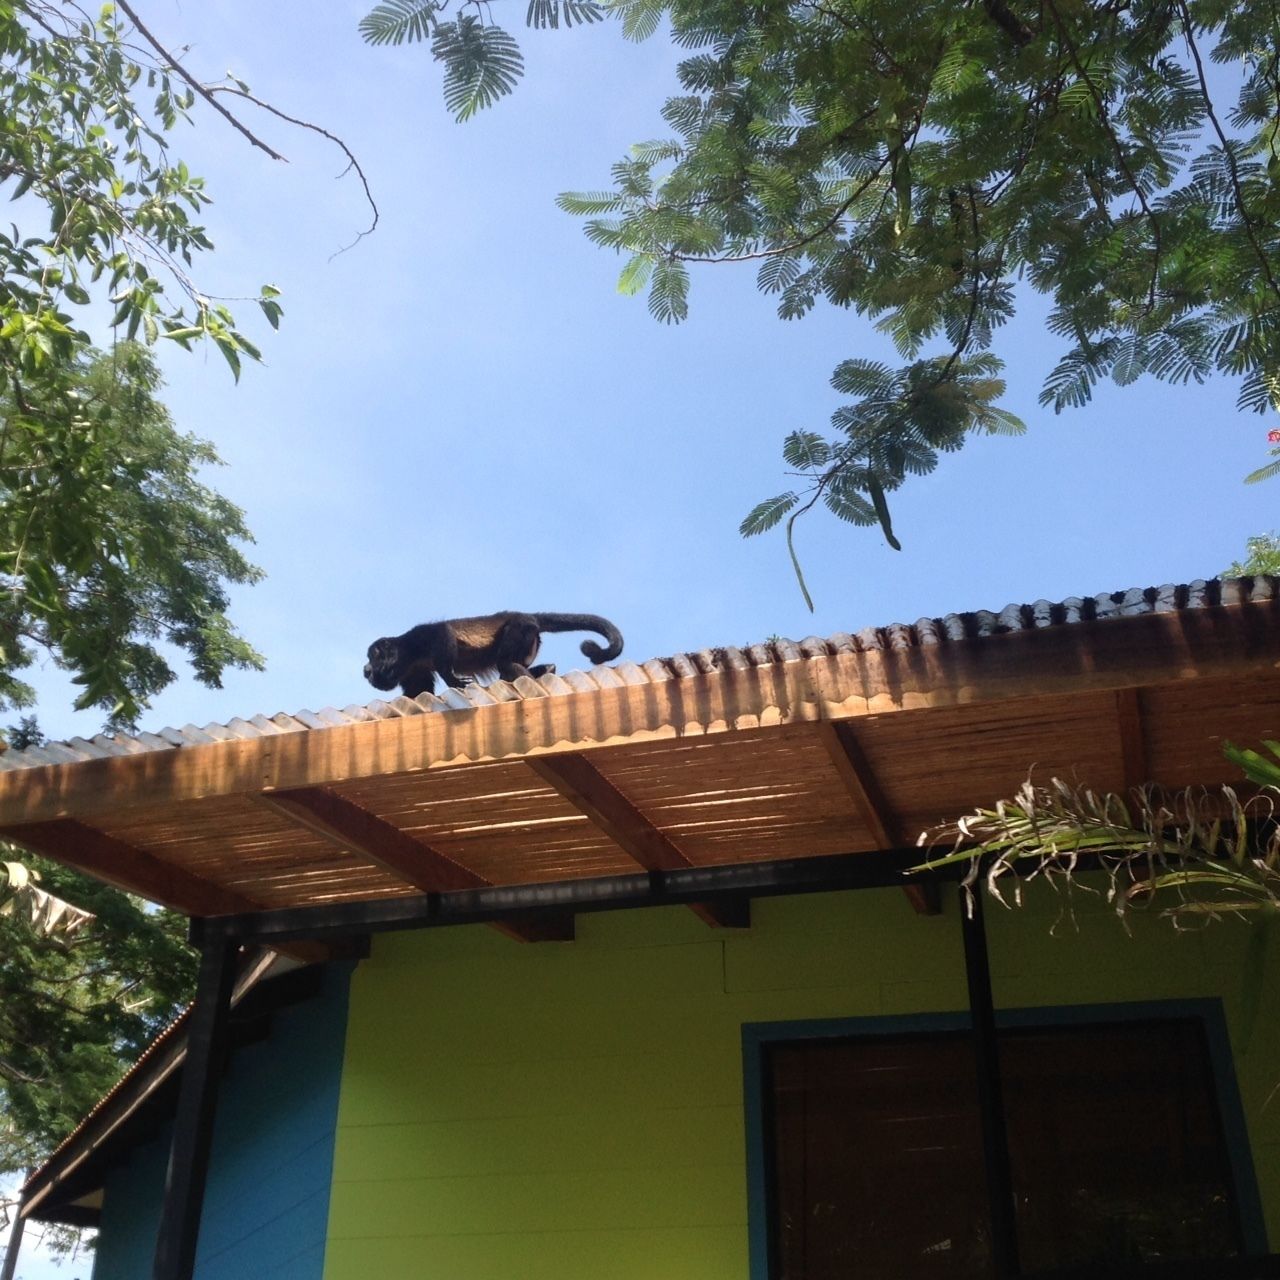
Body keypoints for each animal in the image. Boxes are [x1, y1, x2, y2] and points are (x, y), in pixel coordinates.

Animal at [364, 612, 623, 699]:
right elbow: (419, 691)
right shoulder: (413, 670)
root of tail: (527, 616)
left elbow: (443, 633)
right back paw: (547, 670)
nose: (365, 669)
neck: (406, 655)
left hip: (520, 629)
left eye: (372, 657)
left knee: (506, 662)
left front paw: (452, 678)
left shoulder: (418, 637)